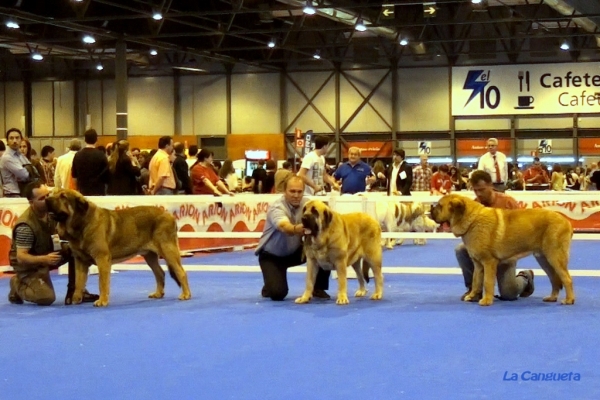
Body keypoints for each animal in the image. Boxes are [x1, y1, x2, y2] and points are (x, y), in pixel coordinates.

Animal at [47, 189, 192, 308]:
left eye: (63, 196)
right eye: (53, 193)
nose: (47, 198)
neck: (81, 223)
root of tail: (170, 215)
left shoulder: (102, 258)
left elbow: (102, 282)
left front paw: (102, 301)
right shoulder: (80, 260)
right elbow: (79, 281)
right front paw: (76, 299)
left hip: (168, 249)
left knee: (180, 271)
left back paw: (186, 295)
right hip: (149, 255)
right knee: (160, 273)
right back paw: (158, 293)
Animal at [428, 194, 576, 306]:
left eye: (440, 206)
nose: (430, 208)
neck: (472, 221)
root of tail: (567, 222)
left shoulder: (489, 262)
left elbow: (487, 282)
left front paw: (487, 300)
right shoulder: (478, 264)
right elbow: (476, 281)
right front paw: (472, 296)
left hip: (555, 257)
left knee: (567, 278)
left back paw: (569, 300)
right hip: (544, 260)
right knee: (554, 279)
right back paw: (552, 297)